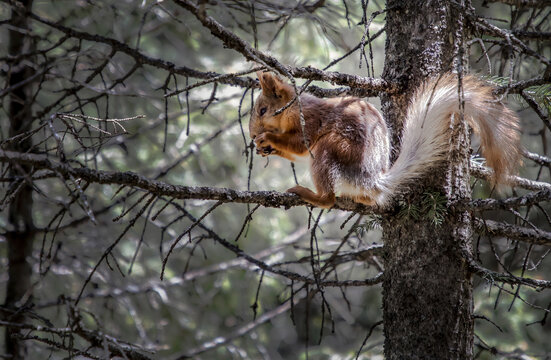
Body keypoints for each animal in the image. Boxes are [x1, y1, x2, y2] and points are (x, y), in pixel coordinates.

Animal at [250, 71, 520, 208]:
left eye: (262, 110)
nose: (252, 134)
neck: (294, 109)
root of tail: (371, 181)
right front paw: (264, 147)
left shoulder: (311, 121)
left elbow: (299, 145)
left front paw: (268, 138)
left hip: (333, 149)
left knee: (328, 199)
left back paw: (310, 194)